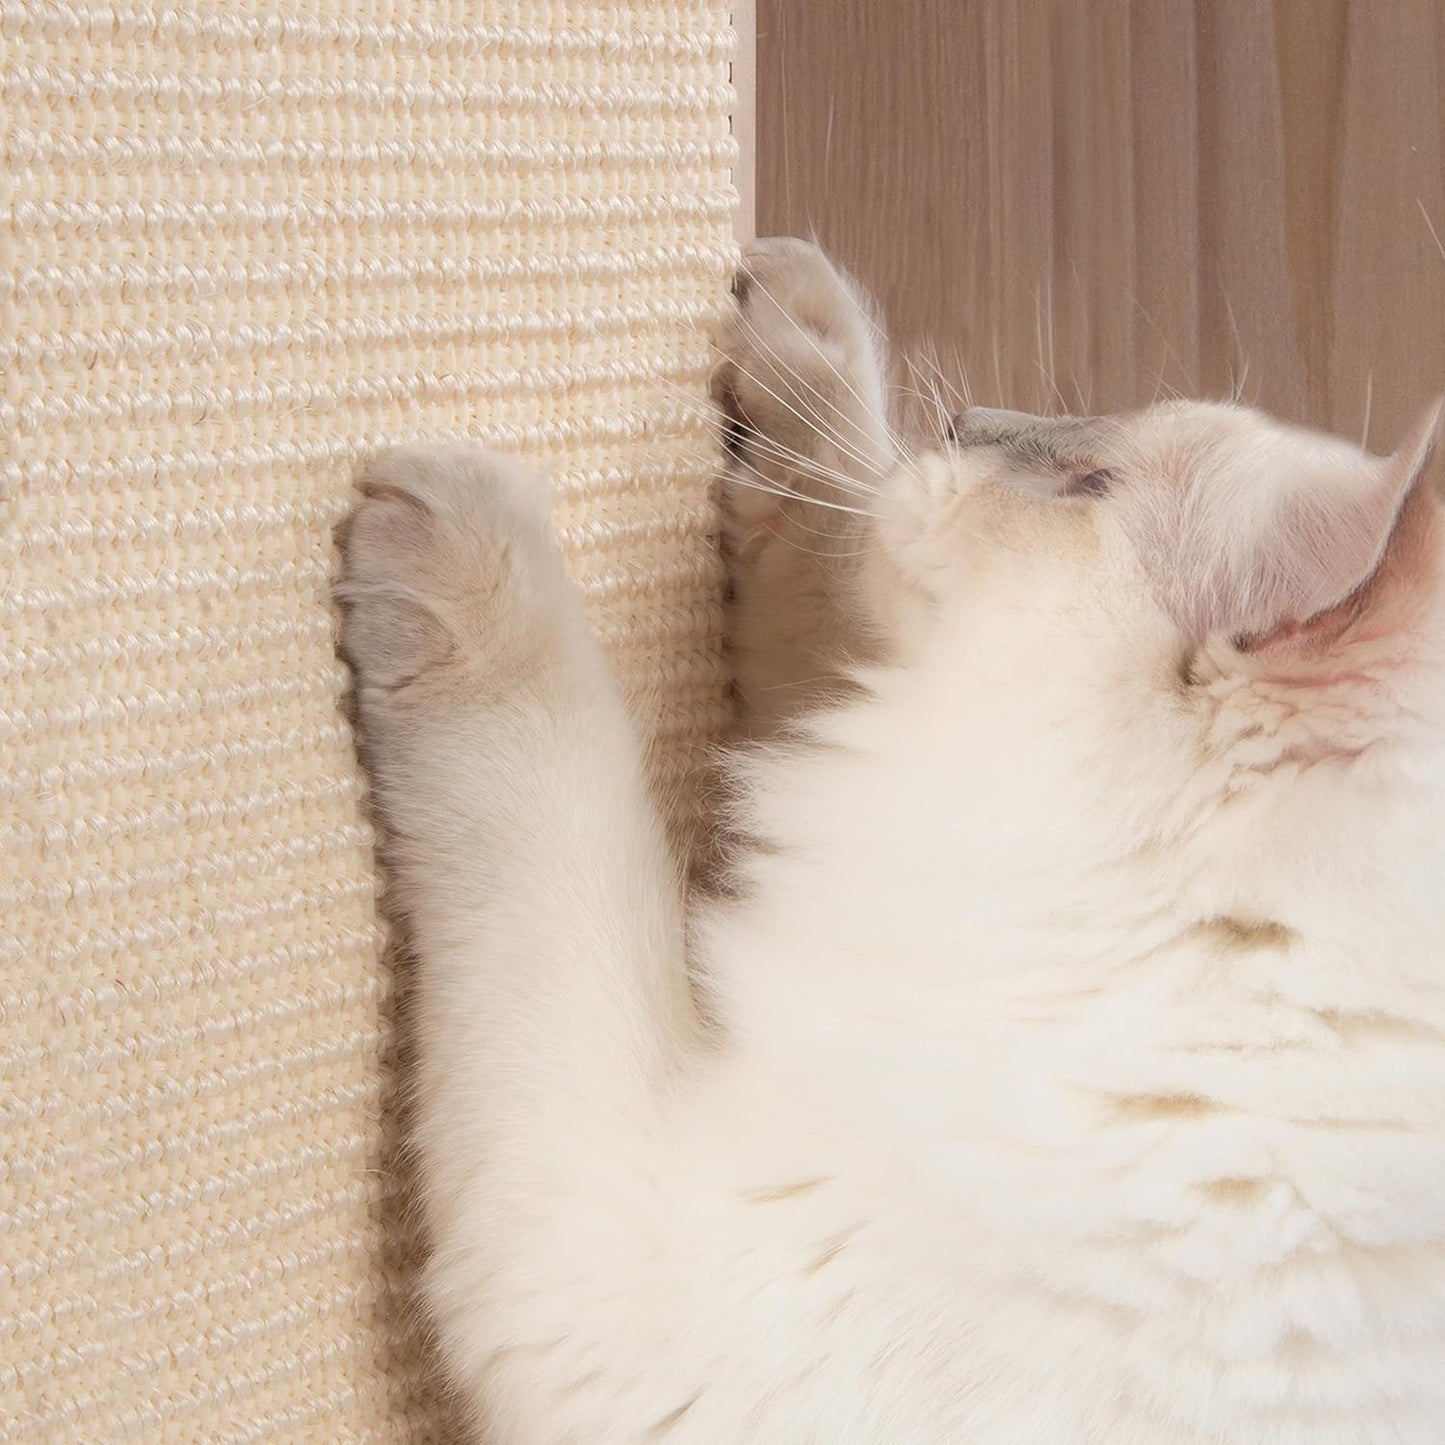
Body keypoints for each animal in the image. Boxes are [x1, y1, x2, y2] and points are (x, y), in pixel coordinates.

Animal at [338, 242, 1445, 1439]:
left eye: (1088, 484)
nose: (965, 420)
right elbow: (830, 534)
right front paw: (798, 329)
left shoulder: (638, 1278)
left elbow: (562, 781)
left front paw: (457, 524)